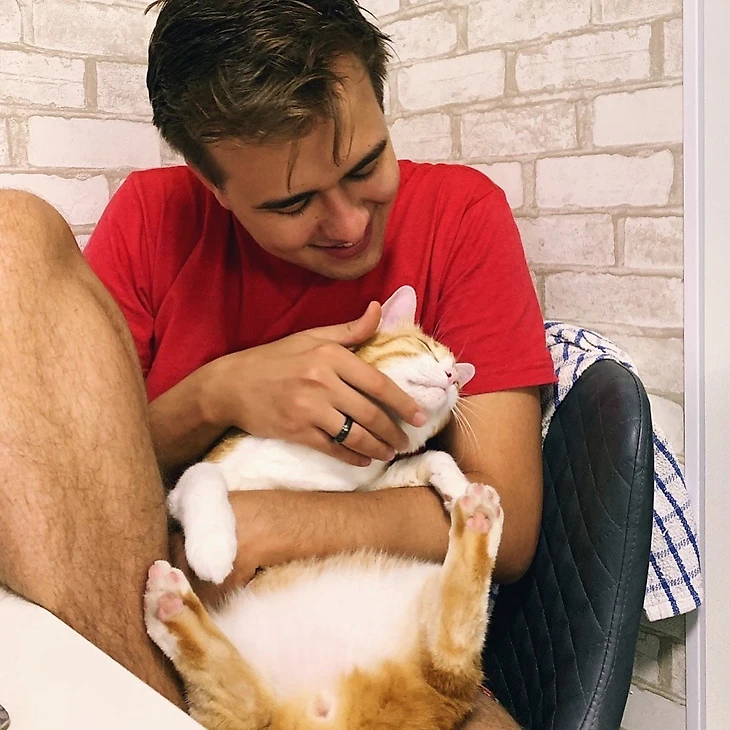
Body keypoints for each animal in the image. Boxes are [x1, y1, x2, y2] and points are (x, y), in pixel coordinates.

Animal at [144, 285, 506, 730]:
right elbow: (204, 478)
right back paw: (170, 602)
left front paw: (458, 485)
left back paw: (478, 515)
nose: (454, 377)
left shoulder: (365, 487)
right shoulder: (187, 485)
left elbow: (431, 458)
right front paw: (212, 549)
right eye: (424, 348)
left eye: (456, 377)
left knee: (452, 640)